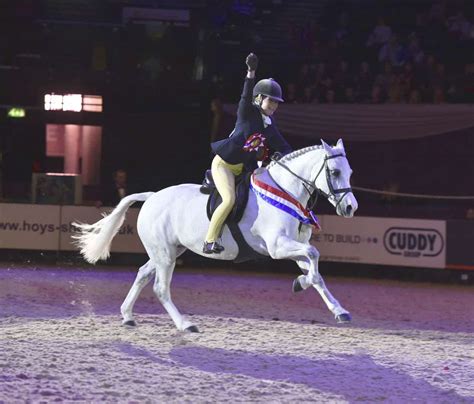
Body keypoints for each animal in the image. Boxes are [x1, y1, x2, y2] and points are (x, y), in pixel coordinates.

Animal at [73, 139, 356, 332]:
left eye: (350, 172)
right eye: (335, 172)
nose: (351, 208)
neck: (284, 191)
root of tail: (152, 196)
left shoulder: (293, 246)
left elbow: (316, 271)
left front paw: (338, 309)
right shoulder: (278, 246)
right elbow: (314, 257)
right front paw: (301, 282)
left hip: (168, 251)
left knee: (143, 274)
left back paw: (128, 316)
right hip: (165, 255)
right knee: (160, 288)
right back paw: (185, 324)